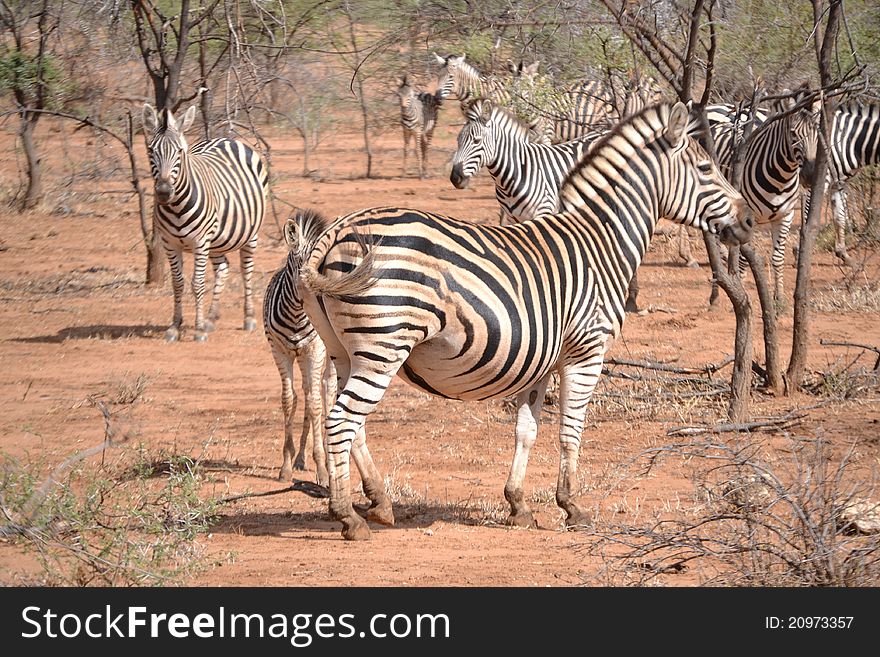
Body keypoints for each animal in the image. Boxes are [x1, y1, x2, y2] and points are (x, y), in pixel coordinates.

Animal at [142, 102, 268, 344]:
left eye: (179, 152)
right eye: (151, 151)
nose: (163, 192)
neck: (176, 206)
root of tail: (226, 139)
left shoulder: (200, 242)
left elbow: (197, 284)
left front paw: (198, 330)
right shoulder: (170, 243)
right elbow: (178, 283)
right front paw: (175, 327)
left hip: (251, 234)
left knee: (245, 270)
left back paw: (248, 317)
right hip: (217, 240)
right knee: (223, 268)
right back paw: (211, 317)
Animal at [262, 208, 336, 484]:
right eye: (299, 263)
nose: (323, 293)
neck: (295, 314)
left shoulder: (315, 349)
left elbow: (315, 404)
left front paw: (323, 469)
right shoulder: (279, 350)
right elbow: (289, 399)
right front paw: (286, 465)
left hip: (326, 351)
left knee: (326, 389)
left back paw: (328, 455)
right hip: (302, 355)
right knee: (307, 390)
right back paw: (302, 458)